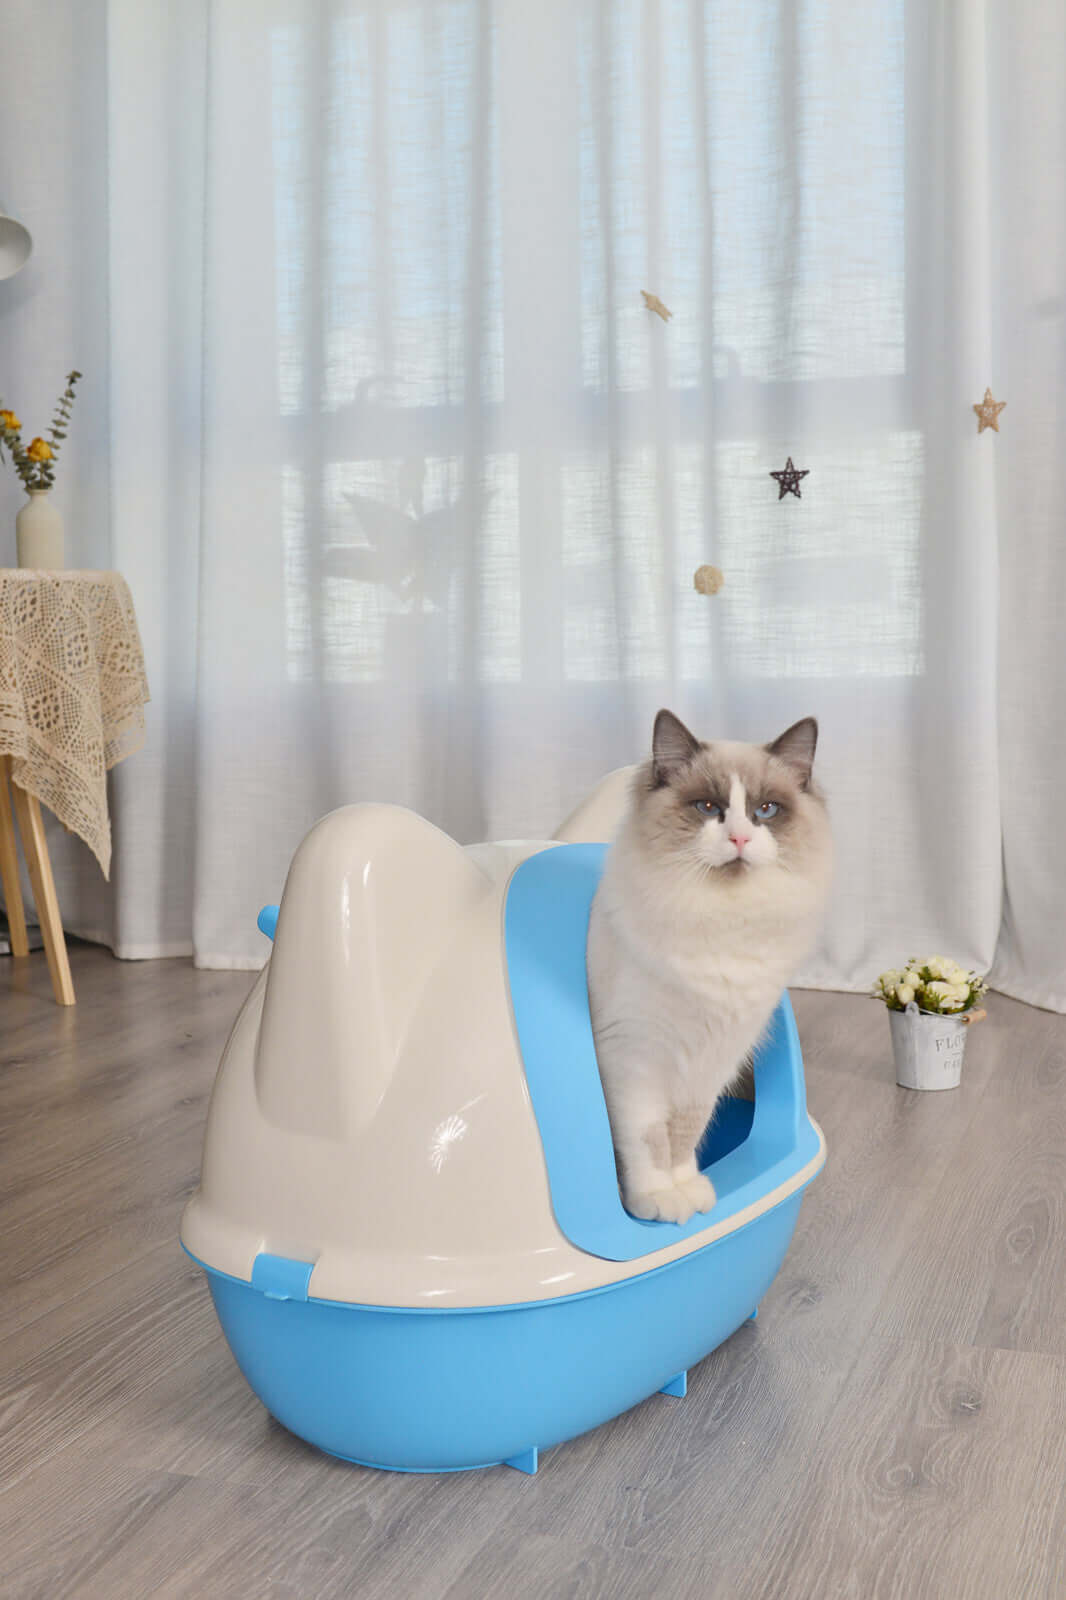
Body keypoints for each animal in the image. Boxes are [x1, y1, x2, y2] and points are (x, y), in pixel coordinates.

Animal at [582, 713, 832, 1222]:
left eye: (766, 810)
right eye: (708, 806)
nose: (739, 838)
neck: (721, 923)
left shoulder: (712, 1059)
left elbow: (684, 1134)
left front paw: (687, 1188)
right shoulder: (635, 1056)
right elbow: (647, 1136)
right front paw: (657, 1202)